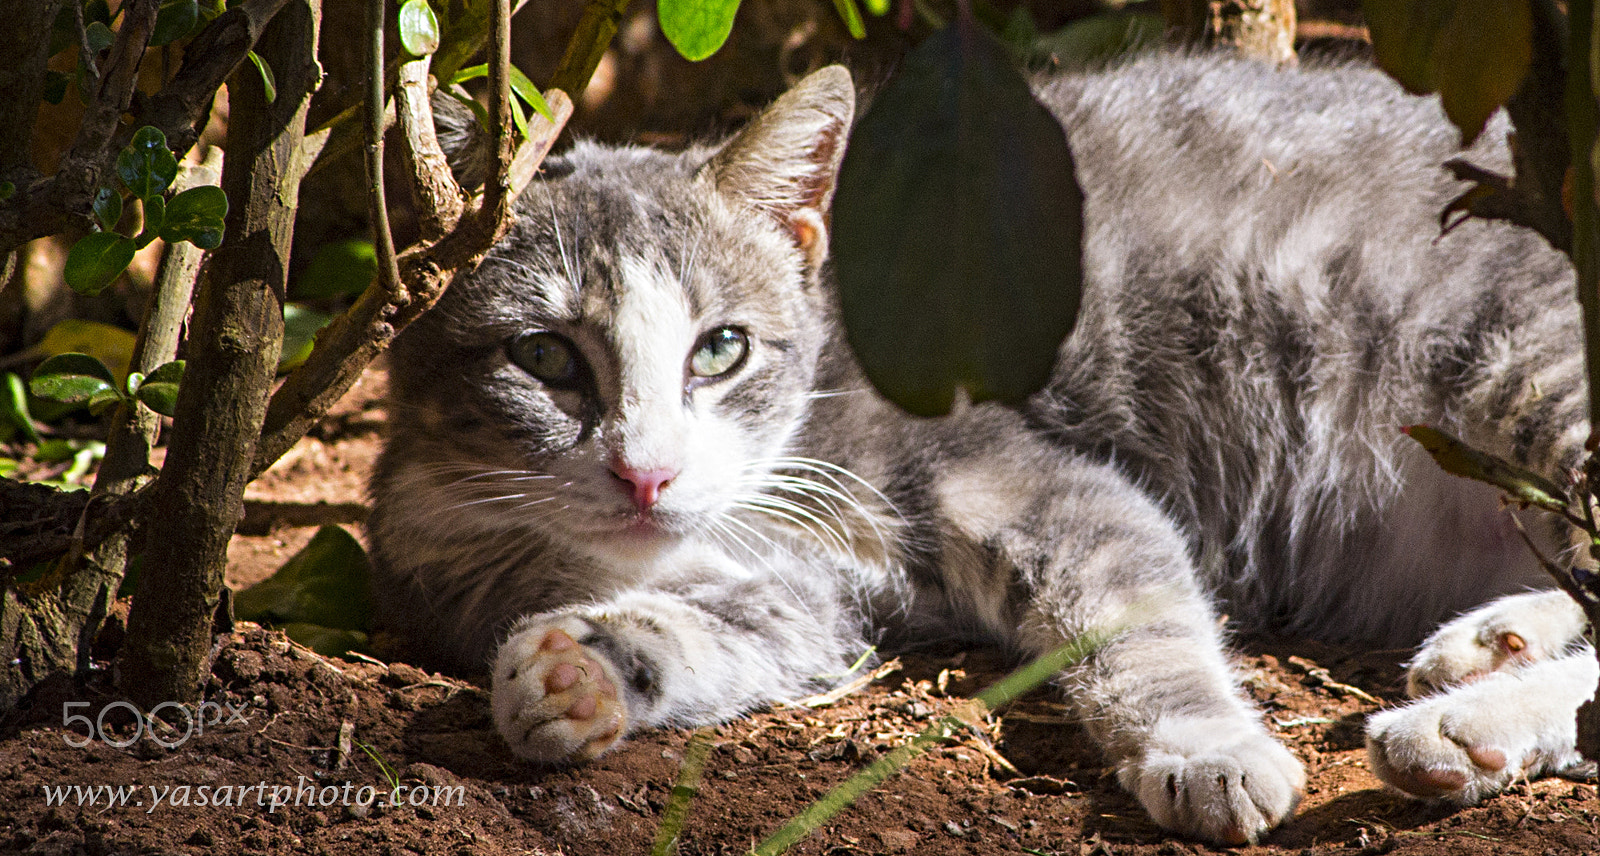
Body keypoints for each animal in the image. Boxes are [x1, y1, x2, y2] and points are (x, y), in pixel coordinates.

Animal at [366, 53, 1600, 844]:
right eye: (545, 356)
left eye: (719, 348)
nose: (647, 471)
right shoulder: (799, 598)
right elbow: (733, 632)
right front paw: (582, 666)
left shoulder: (1017, 474)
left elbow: (1138, 610)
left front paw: (1206, 747)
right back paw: (1490, 647)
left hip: (1523, 361)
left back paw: (1464, 724)